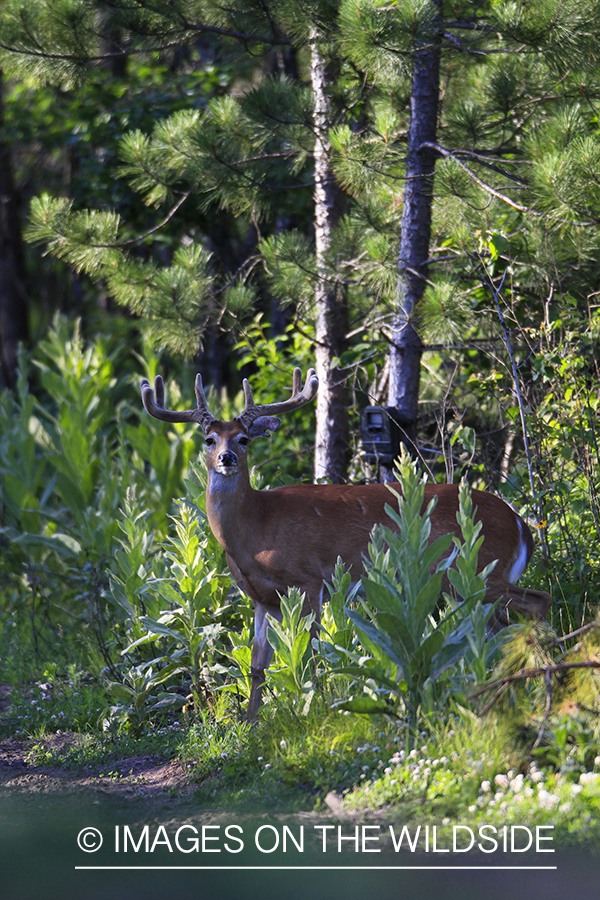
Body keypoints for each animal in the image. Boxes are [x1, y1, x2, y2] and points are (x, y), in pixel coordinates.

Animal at [140, 367, 552, 718]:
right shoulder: (261, 598)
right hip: (468, 584)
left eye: (243, 439)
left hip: (482, 570)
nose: (226, 457)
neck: (255, 529)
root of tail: (520, 523)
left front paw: (313, 709)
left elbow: (309, 654)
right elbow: (258, 666)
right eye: (209, 439)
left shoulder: (308, 579)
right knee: (500, 629)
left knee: (537, 602)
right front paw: (251, 723)